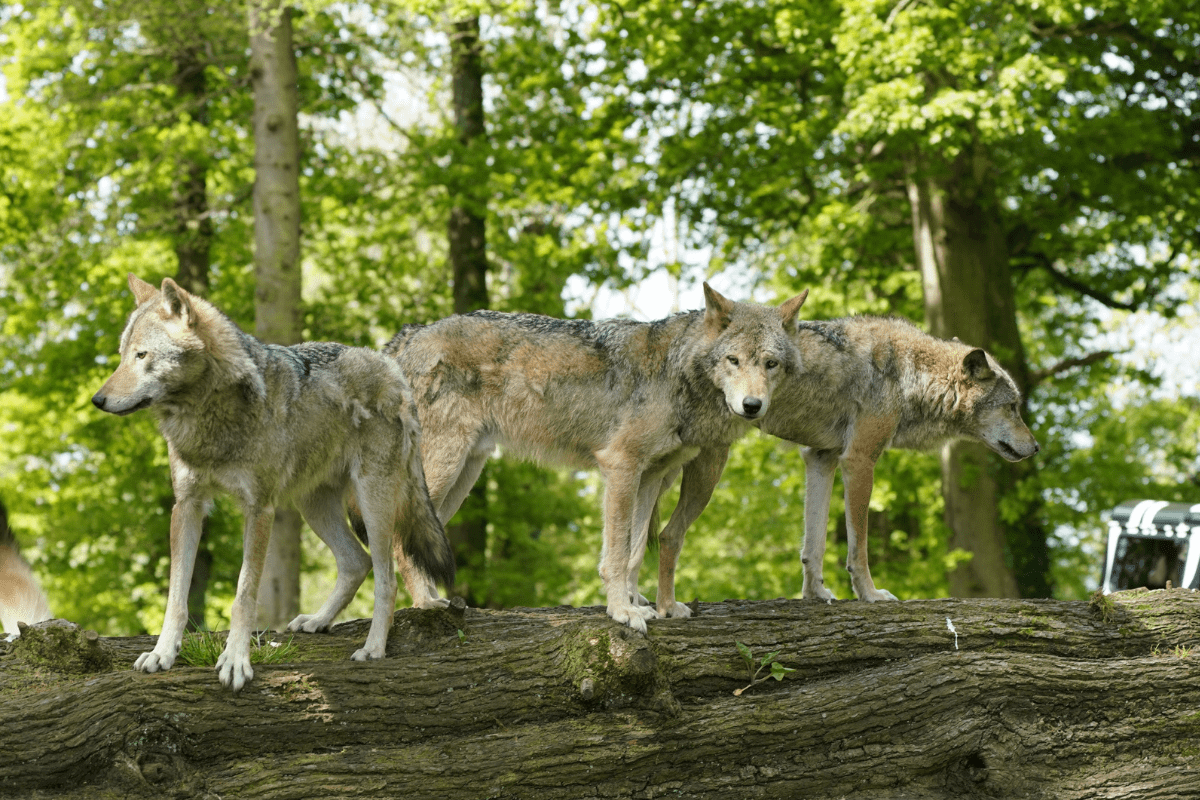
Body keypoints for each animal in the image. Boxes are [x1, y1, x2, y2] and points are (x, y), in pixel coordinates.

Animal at [92, 274, 455, 691]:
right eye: (122, 355)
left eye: (142, 355)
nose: (97, 399)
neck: (206, 416)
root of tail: (393, 369)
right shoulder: (187, 505)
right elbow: (176, 597)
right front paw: (162, 653)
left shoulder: (259, 507)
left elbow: (244, 595)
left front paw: (236, 660)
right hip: (313, 506)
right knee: (355, 562)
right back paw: (318, 621)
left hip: (372, 504)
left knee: (386, 577)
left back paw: (373, 648)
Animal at [382, 284, 807, 631]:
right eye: (733, 360)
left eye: (770, 363)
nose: (752, 406)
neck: (677, 373)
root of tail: (407, 336)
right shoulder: (621, 466)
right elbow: (616, 555)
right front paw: (622, 611)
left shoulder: (651, 476)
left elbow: (635, 551)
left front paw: (644, 603)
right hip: (444, 470)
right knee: (399, 540)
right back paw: (425, 605)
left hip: (463, 476)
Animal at [651, 315, 1039, 611]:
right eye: (1012, 407)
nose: (1036, 447)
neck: (909, 375)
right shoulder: (859, 460)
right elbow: (859, 547)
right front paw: (870, 595)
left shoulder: (821, 458)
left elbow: (814, 545)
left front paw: (815, 594)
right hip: (702, 472)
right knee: (665, 535)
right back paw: (663, 608)